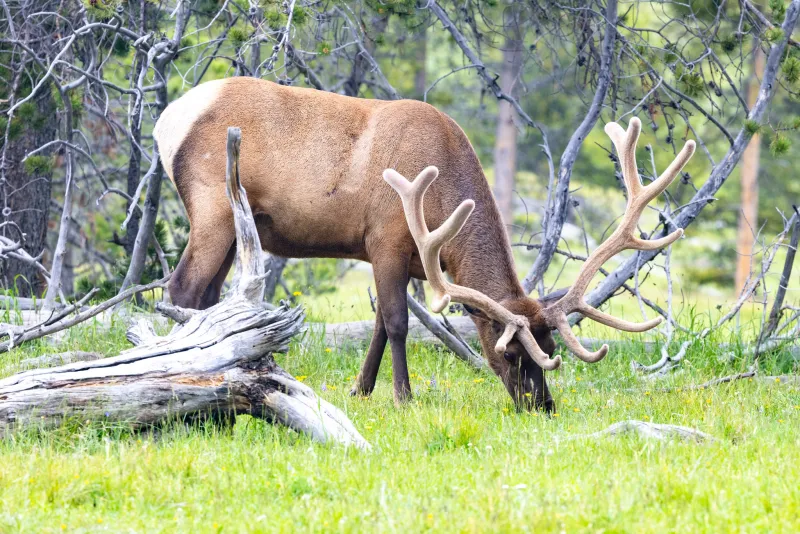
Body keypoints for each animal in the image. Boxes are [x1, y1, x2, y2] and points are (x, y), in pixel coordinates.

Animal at [154, 77, 695, 411]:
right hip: (212, 209)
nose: (542, 405)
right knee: (180, 290)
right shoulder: (386, 238)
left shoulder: (396, 256)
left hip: (234, 227)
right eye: (510, 354)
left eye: (548, 345)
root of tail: (166, 120)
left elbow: (377, 323)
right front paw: (403, 396)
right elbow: (396, 322)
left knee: (207, 298)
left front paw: (360, 389)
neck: (438, 202)